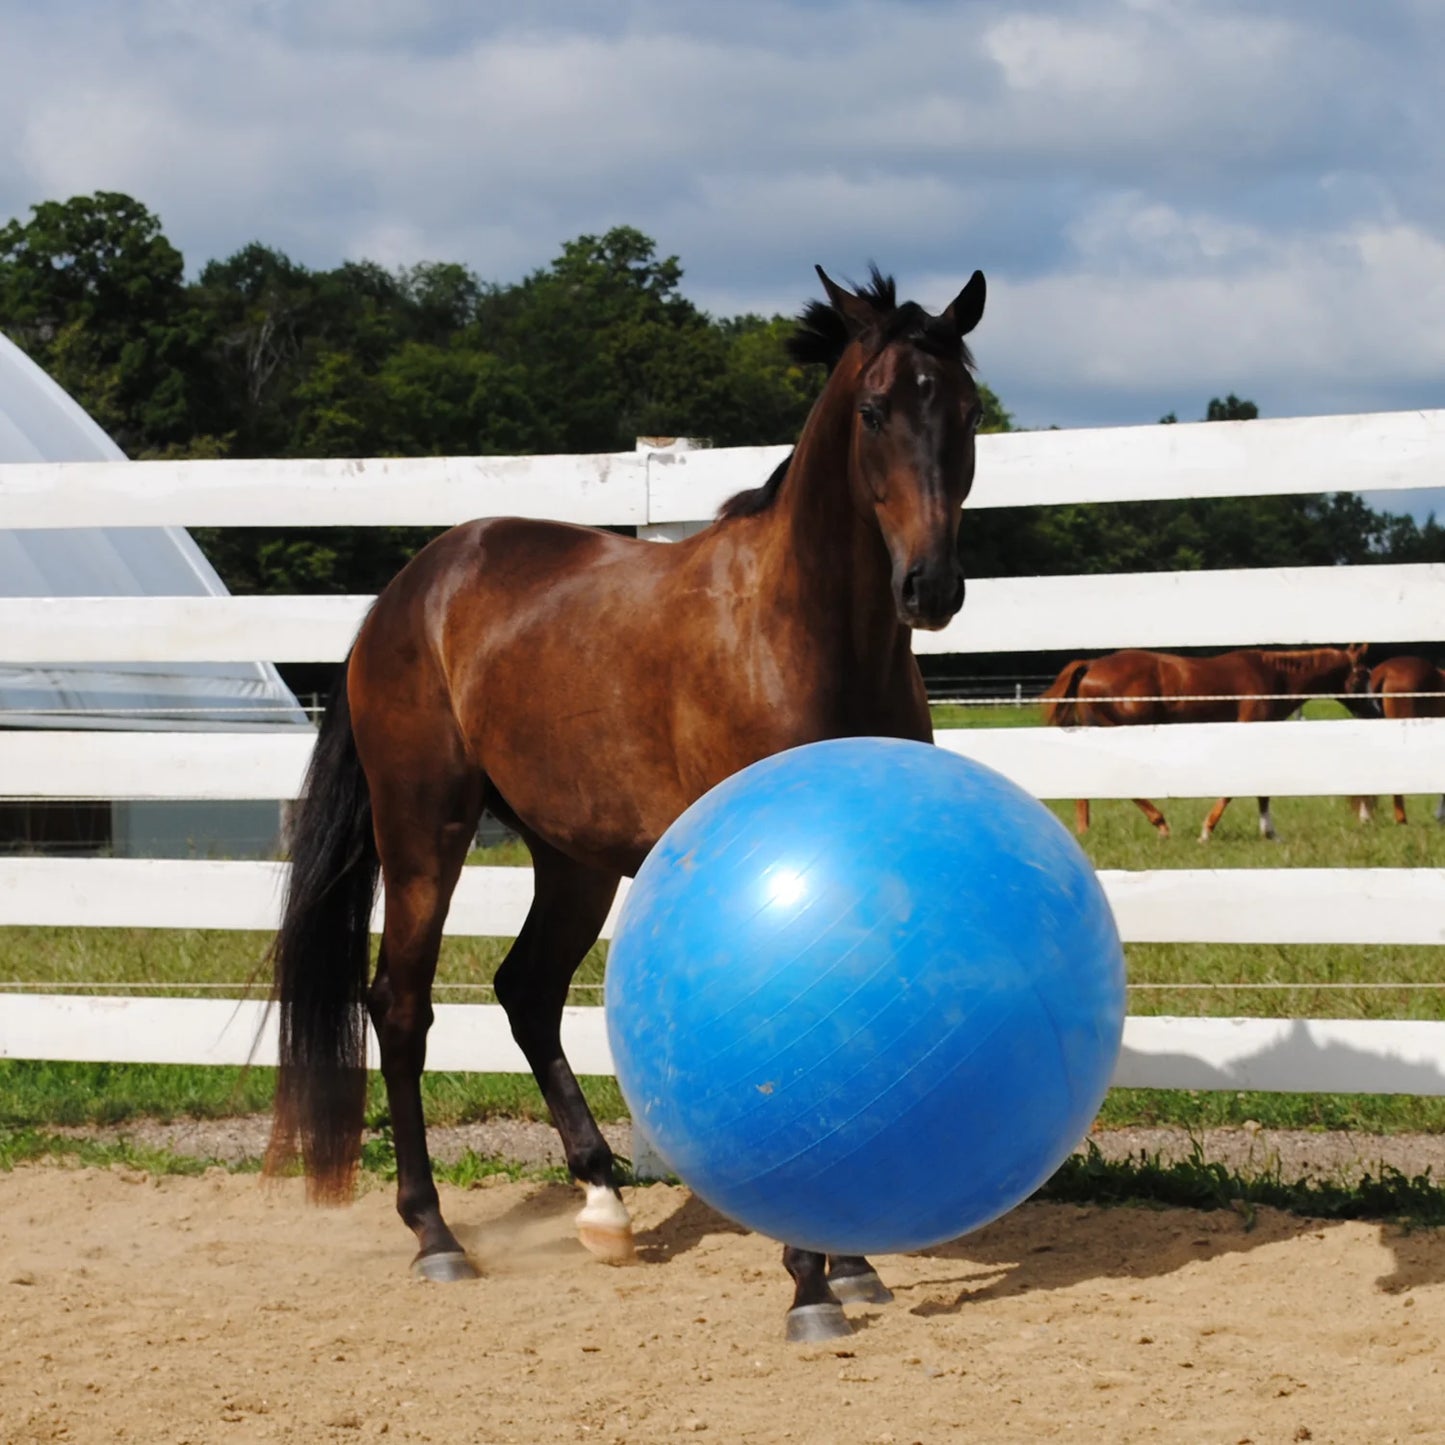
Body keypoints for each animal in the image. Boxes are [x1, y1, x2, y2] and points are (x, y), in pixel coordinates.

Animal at [262, 265, 994, 1346]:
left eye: (967, 411)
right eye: (872, 410)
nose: (928, 587)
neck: (801, 631)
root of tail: (407, 592)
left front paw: (851, 1263)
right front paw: (810, 1287)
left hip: (573, 857)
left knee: (525, 990)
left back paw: (603, 1205)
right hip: (425, 832)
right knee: (400, 1004)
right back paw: (436, 1234)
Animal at [1040, 650, 1364, 843]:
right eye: (1362, 675)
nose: (1371, 709)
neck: (1271, 678)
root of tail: (1091, 665)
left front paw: (1270, 833)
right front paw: (1207, 831)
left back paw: (1084, 831)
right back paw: (1160, 825)